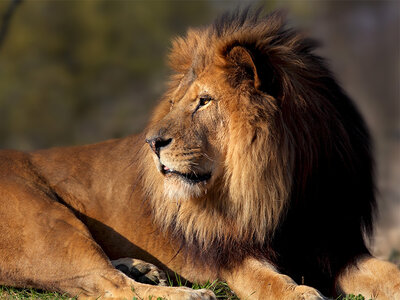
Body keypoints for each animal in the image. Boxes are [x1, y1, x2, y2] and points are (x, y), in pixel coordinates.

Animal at [0, 8, 400, 300]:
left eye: (204, 101)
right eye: (174, 103)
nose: (151, 143)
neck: (288, 187)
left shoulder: (337, 245)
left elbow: (390, 272)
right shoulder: (229, 254)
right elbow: (267, 280)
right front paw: (301, 293)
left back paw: (141, 267)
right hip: (49, 226)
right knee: (108, 286)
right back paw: (191, 294)